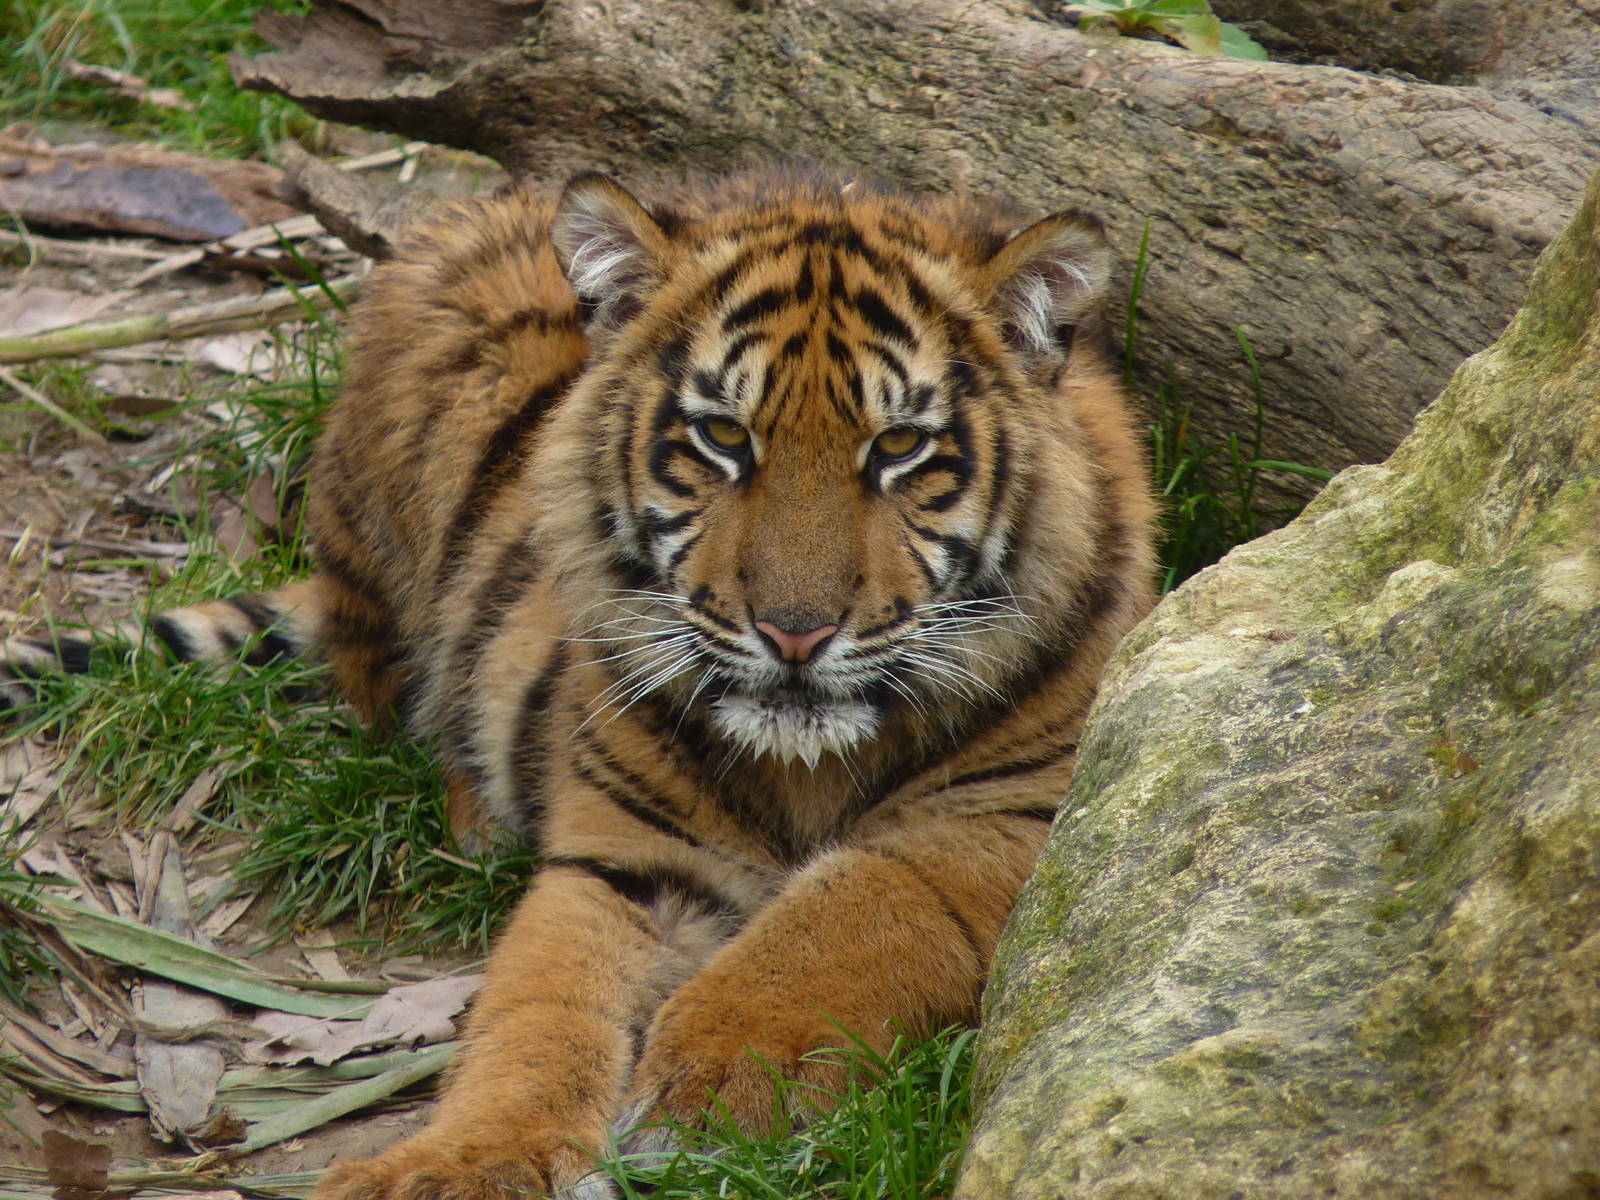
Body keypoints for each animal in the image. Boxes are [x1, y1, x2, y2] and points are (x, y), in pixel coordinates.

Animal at [1, 165, 1158, 1198]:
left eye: (902, 446)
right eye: (722, 436)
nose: (794, 634)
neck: (808, 762)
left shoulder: (1021, 821)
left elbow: (853, 911)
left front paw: (722, 1076)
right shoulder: (621, 860)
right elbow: (535, 1016)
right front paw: (460, 1165)